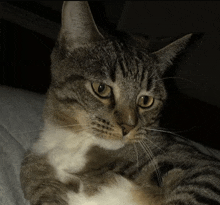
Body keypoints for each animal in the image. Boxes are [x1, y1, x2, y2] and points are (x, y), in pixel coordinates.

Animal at [20, 1, 220, 205]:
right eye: (101, 89)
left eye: (146, 100)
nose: (127, 126)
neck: (76, 144)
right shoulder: (38, 172)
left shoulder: (204, 170)